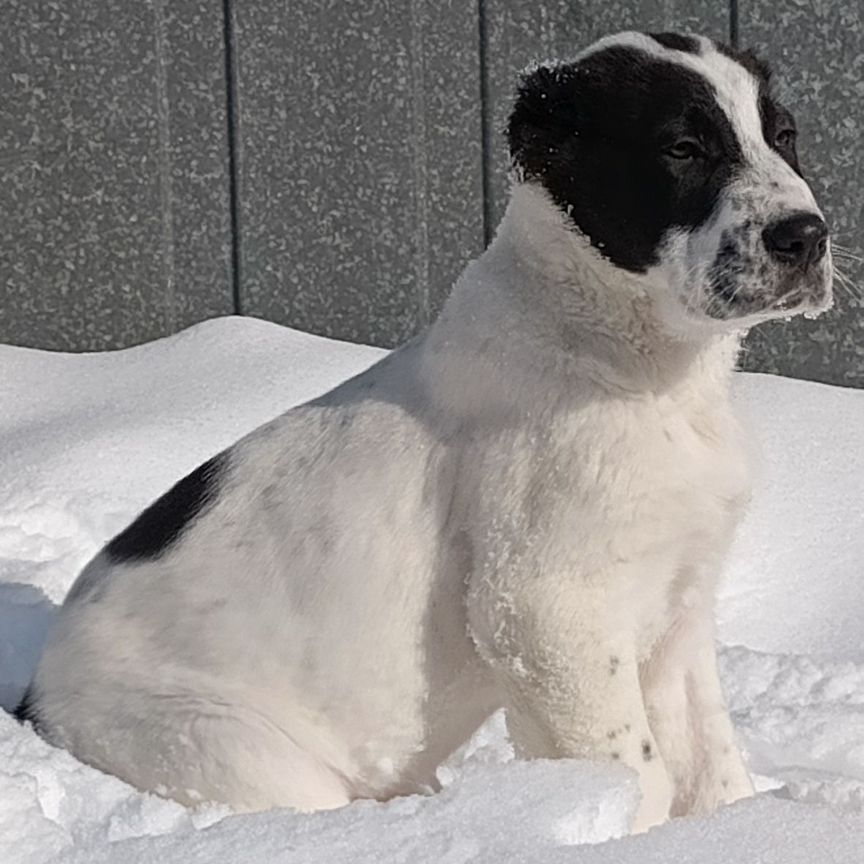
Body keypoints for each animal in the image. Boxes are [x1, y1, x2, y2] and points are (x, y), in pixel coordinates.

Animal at [18, 30, 832, 832]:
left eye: (784, 136)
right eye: (683, 149)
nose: (806, 237)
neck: (643, 366)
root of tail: (35, 702)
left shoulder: (677, 609)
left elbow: (709, 764)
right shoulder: (543, 610)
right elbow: (636, 769)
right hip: (231, 753)